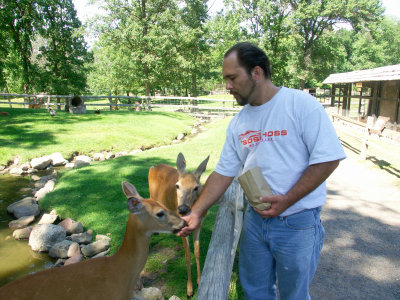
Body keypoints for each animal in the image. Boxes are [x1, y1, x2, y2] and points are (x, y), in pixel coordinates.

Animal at [147, 152, 209, 298]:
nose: (182, 209)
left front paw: (199, 281)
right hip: (152, 194)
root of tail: (153, 167)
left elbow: (197, 252)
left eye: (196, 187)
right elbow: (187, 255)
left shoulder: (199, 224)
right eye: (177, 186)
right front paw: (189, 290)